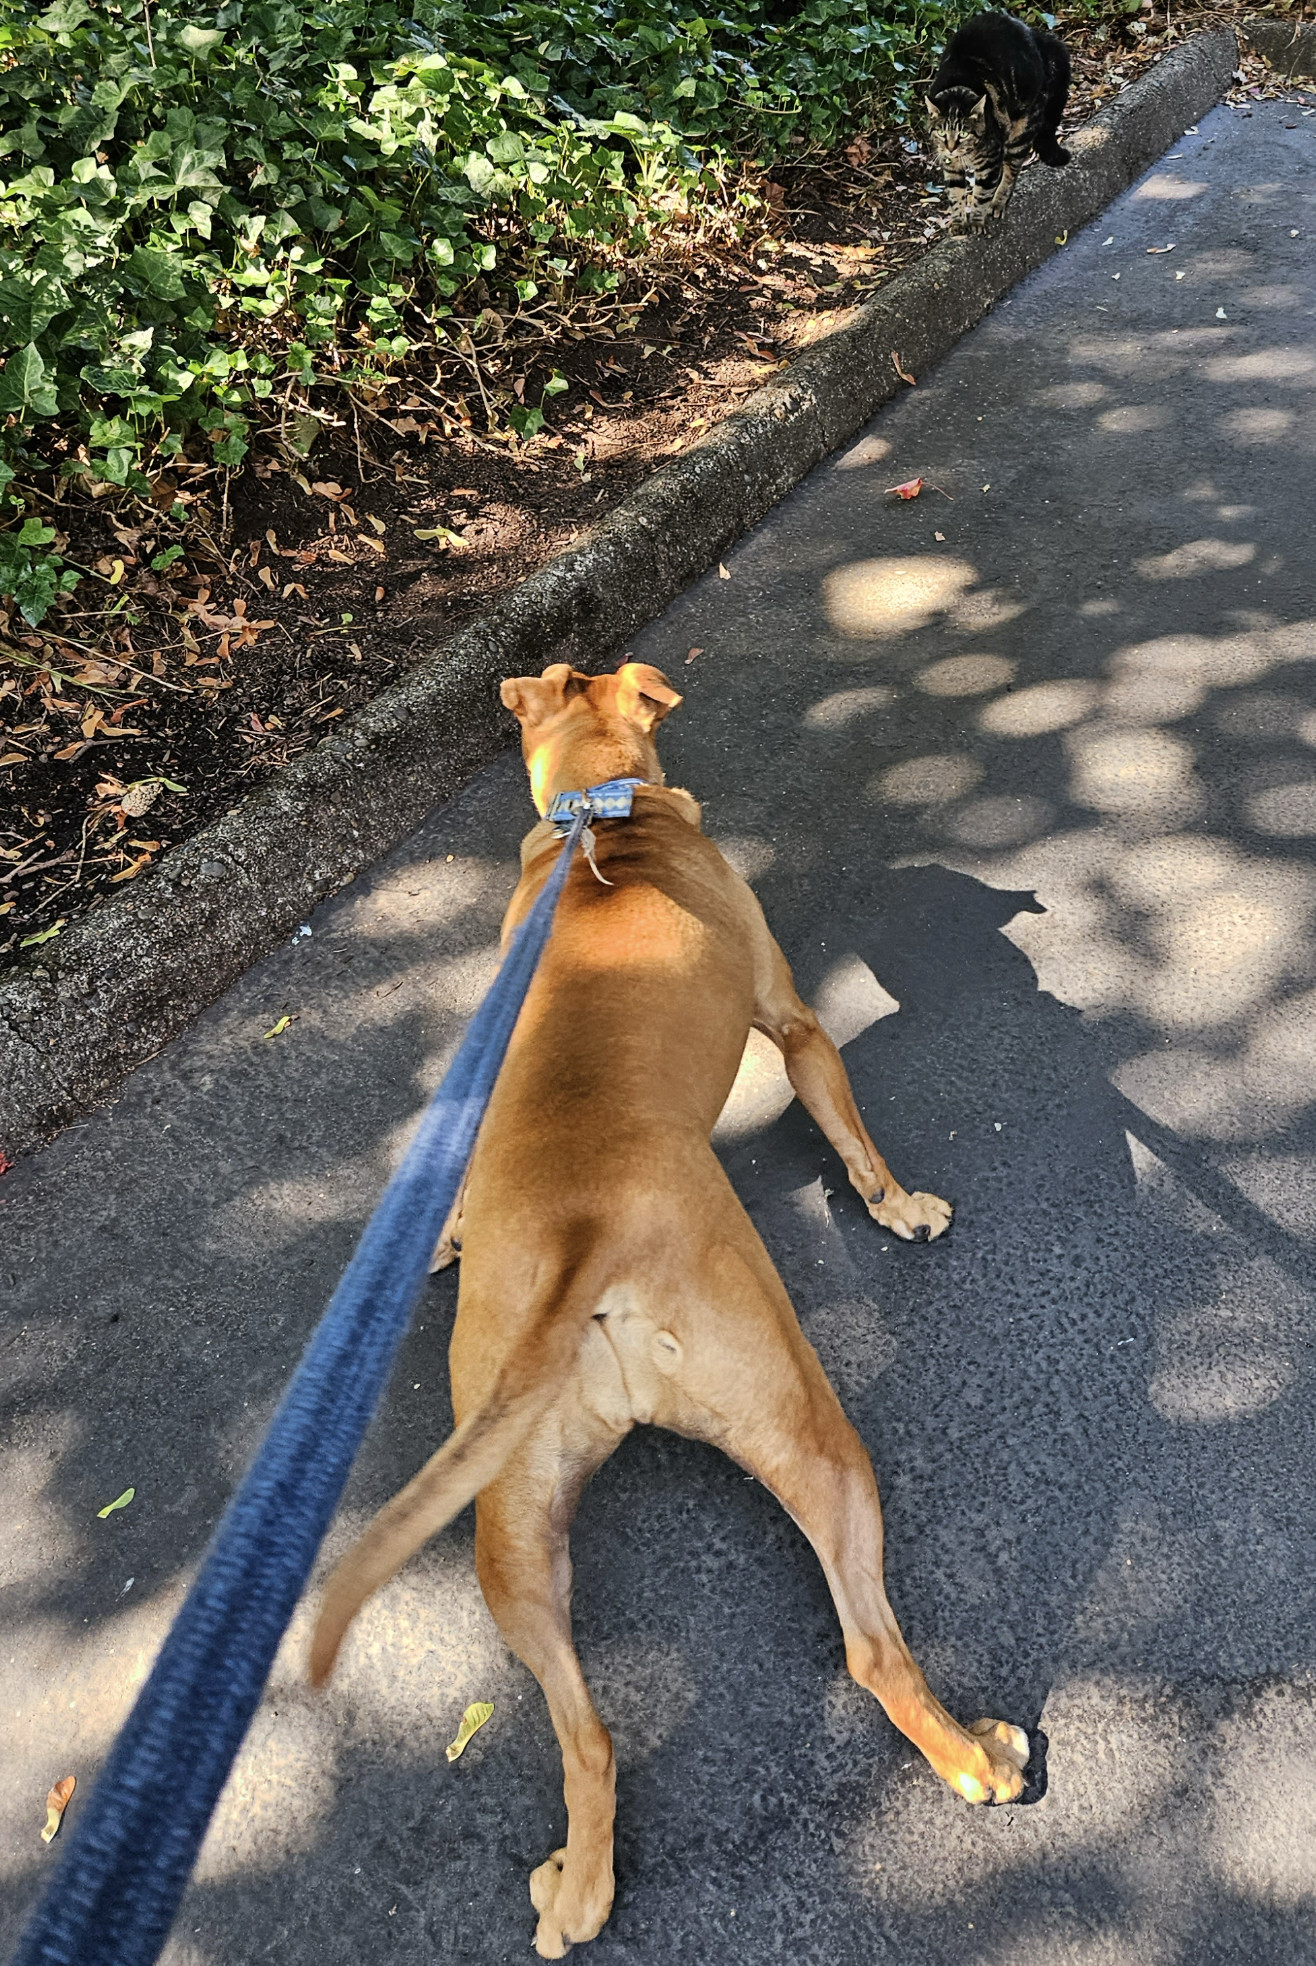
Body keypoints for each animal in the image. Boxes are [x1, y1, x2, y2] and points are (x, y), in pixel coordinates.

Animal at [310, 656, 1022, 1950]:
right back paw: (975, 1759)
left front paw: (440, 1233)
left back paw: (578, 1886)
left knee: (586, 1733)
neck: (603, 817)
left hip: (509, 1538)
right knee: (870, 1651)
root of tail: (585, 1243)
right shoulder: (795, 1022)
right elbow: (852, 1142)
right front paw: (900, 1210)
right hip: (807, 1422)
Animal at [924, 11, 1070, 235]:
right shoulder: (950, 165)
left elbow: (981, 193)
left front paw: (976, 221)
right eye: (941, 132)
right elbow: (955, 194)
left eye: (964, 133)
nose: (950, 147)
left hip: (1021, 130)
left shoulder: (990, 160)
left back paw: (998, 203)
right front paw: (958, 222)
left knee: (1011, 173)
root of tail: (1034, 33)